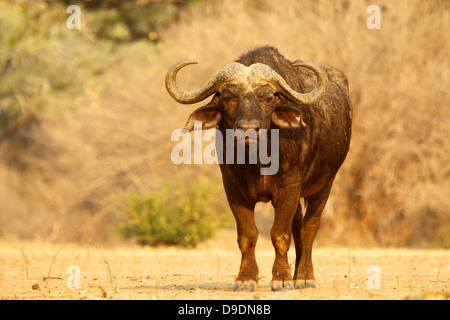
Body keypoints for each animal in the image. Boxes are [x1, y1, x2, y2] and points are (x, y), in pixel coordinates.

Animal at [165, 46, 352, 292]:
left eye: (267, 97)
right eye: (228, 97)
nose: (248, 129)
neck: (256, 160)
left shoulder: (290, 186)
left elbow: (279, 234)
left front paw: (281, 278)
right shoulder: (232, 187)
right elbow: (248, 235)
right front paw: (246, 278)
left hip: (325, 183)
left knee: (309, 227)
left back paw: (304, 277)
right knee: (298, 226)